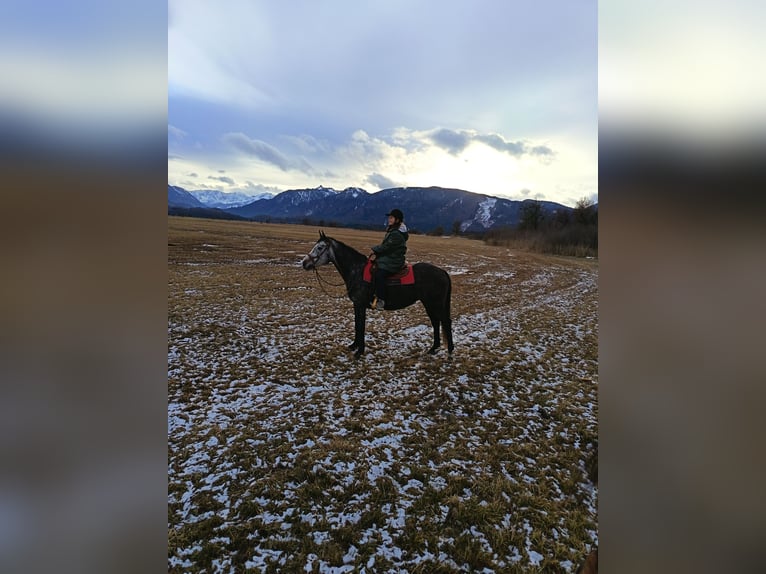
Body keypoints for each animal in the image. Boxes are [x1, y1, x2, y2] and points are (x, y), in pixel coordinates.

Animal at [302, 231, 454, 358]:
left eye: (320, 247)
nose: (304, 263)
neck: (356, 271)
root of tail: (443, 272)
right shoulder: (356, 305)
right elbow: (357, 325)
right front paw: (354, 346)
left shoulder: (361, 305)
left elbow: (361, 326)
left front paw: (360, 351)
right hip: (429, 304)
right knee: (436, 322)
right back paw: (433, 348)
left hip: (435, 304)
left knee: (445, 322)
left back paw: (450, 350)